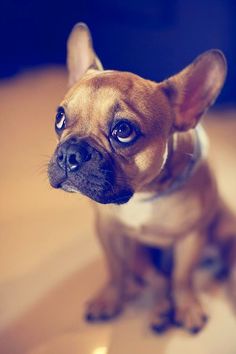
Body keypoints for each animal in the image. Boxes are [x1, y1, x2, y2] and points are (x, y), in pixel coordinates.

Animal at [48, 23, 236, 334]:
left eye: (123, 131)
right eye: (59, 118)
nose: (69, 154)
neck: (144, 194)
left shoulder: (191, 237)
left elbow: (183, 278)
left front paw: (187, 306)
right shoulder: (109, 232)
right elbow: (115, 269)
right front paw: (109, 298)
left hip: (224, 230)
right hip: (138, 254)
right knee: (156, 279)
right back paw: (159, 310)